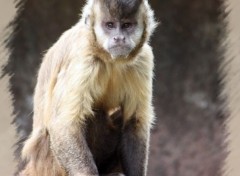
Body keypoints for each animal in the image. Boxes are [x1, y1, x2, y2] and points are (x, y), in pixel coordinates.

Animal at [19, 0, 157, 176]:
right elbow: (64, 125)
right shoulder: (84, 58)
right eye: (110, 25)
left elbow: (133, 122)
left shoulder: (143, 59)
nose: (119, 38)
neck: (110, 59)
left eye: (127, 25)